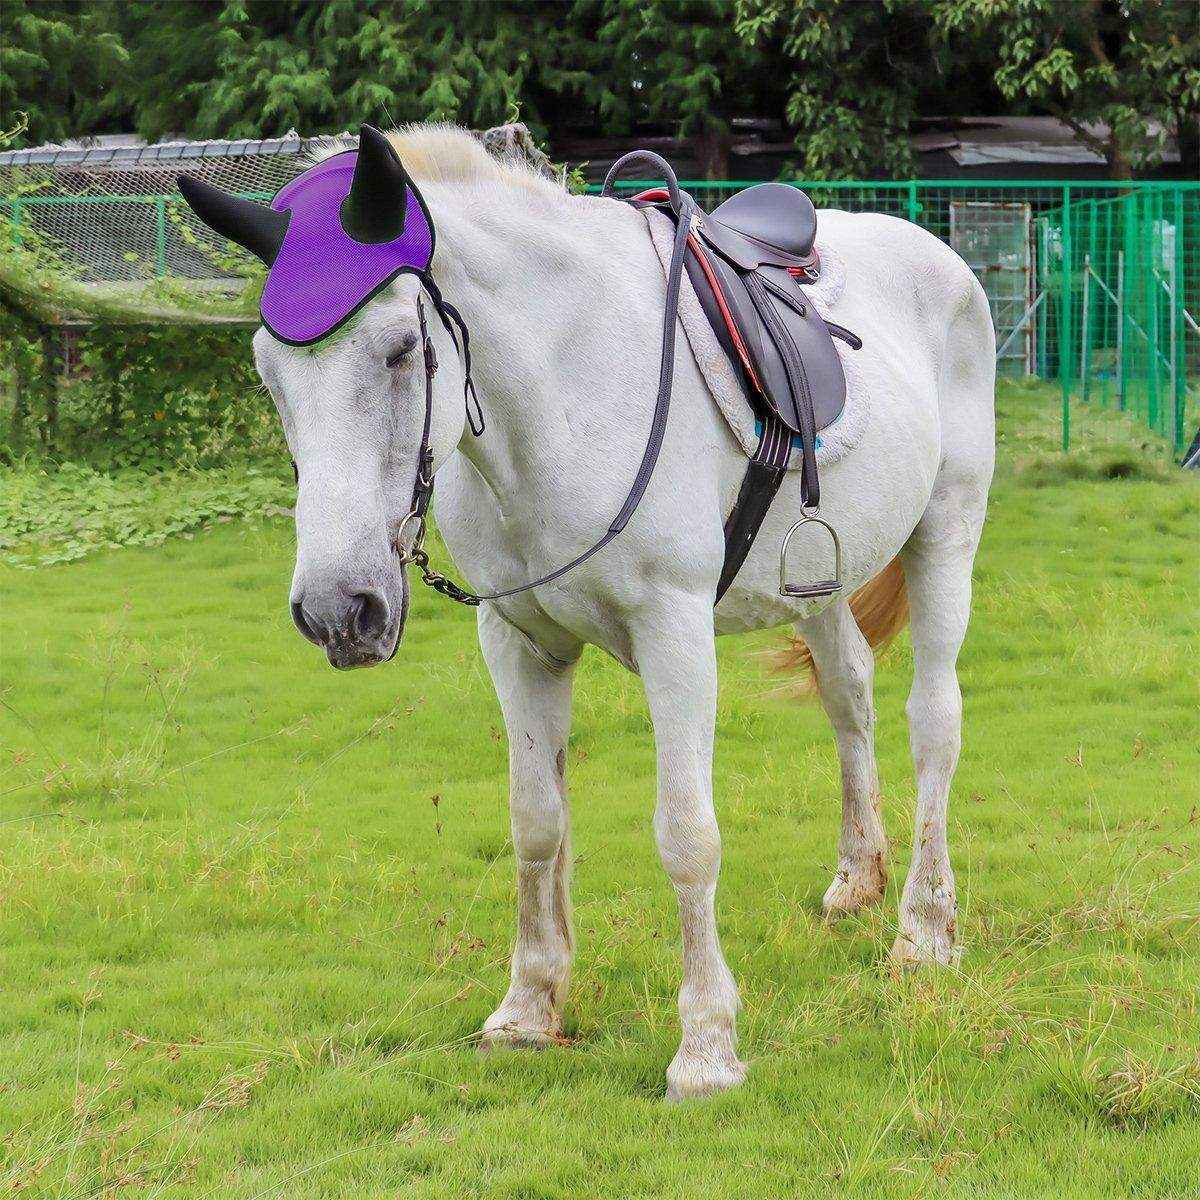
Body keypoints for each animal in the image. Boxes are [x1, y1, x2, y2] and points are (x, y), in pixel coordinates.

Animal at [180, 123, 995, 1100]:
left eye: (400, 349)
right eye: (268, 372)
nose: (341, 609)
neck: (563, 395)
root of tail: (937, 254)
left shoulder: (676, 634)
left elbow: (687, 836)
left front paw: (707, 1046)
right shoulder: (520, 642)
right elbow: (536, 822)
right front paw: (530, 1007)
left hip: (946, 534)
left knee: (934, 721)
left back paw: (925, 930)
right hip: (821, 582)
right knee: (850, 699)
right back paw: (857, 880)